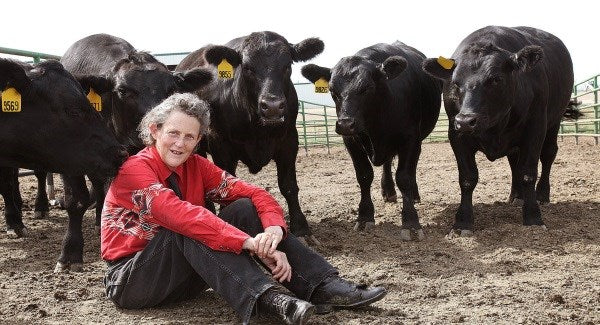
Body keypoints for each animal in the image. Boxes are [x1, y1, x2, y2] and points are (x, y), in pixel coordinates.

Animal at [176, 31, 326, 243]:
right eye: (247, 67)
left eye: (287, 65)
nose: (272, 106)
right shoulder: (221, 145)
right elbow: (225, 186)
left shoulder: (289, 141)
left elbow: (289, 186)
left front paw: (302, 228)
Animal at [302, 41, 442, 239]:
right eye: (332, 90)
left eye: (367, 88)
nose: (345, 124)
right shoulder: (351, 141)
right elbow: (364, 175)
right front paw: (365, 216)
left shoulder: (410, 139)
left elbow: (405, 177)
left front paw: (411, 222)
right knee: (387, 163)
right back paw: (389, 192)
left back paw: (413, 195)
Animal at [420, 25, 576, 233]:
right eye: (455, 82)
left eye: (495, 79)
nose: (466, 120)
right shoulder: (457, 135)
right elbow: (467, 178)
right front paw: (462, 221)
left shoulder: (535, 129)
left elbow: (528, 173)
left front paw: (533, 217)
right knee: (514, 161)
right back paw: (516, 196)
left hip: (554, 121)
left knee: (548, 154)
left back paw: (542, 195)